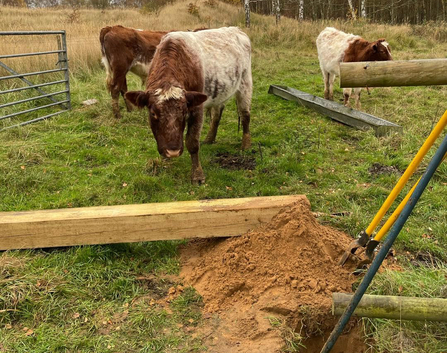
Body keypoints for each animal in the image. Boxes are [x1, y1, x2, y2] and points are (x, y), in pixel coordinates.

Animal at [124, 26, 254, 183]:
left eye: (184, 112)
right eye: (153, 113)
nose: (172, 151)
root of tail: (236, 29)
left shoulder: (197, 109)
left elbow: (192, 142)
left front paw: (197, 175)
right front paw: (165, 161)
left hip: (245, 84)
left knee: (245, 115)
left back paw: (246, 144)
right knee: (217, 114)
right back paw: (209, 139)